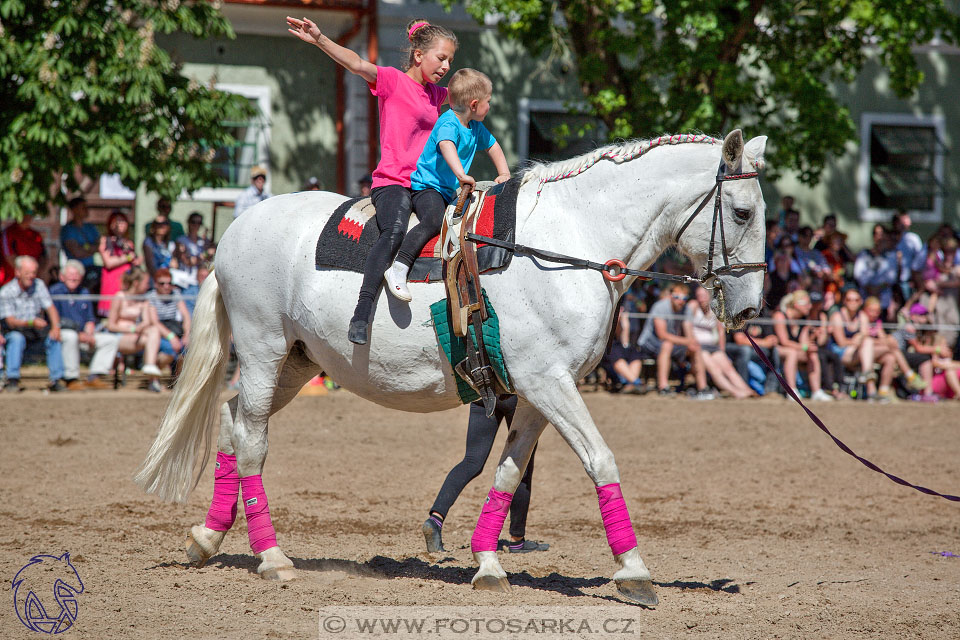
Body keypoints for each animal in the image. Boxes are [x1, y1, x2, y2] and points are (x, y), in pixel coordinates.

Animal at [135, 129, 768, 604]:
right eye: (741, 212)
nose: (751, 308)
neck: (569, 242)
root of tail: (234, 233)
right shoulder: (550, 383)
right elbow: (600, 458)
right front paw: (634, 571)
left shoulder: (534, 392)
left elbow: (508, 473)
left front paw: (488, 562)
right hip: (265, 349)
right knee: (252, 442)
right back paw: (270, 557)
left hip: (293, 362)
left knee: (231, 421)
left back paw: (208, 538)